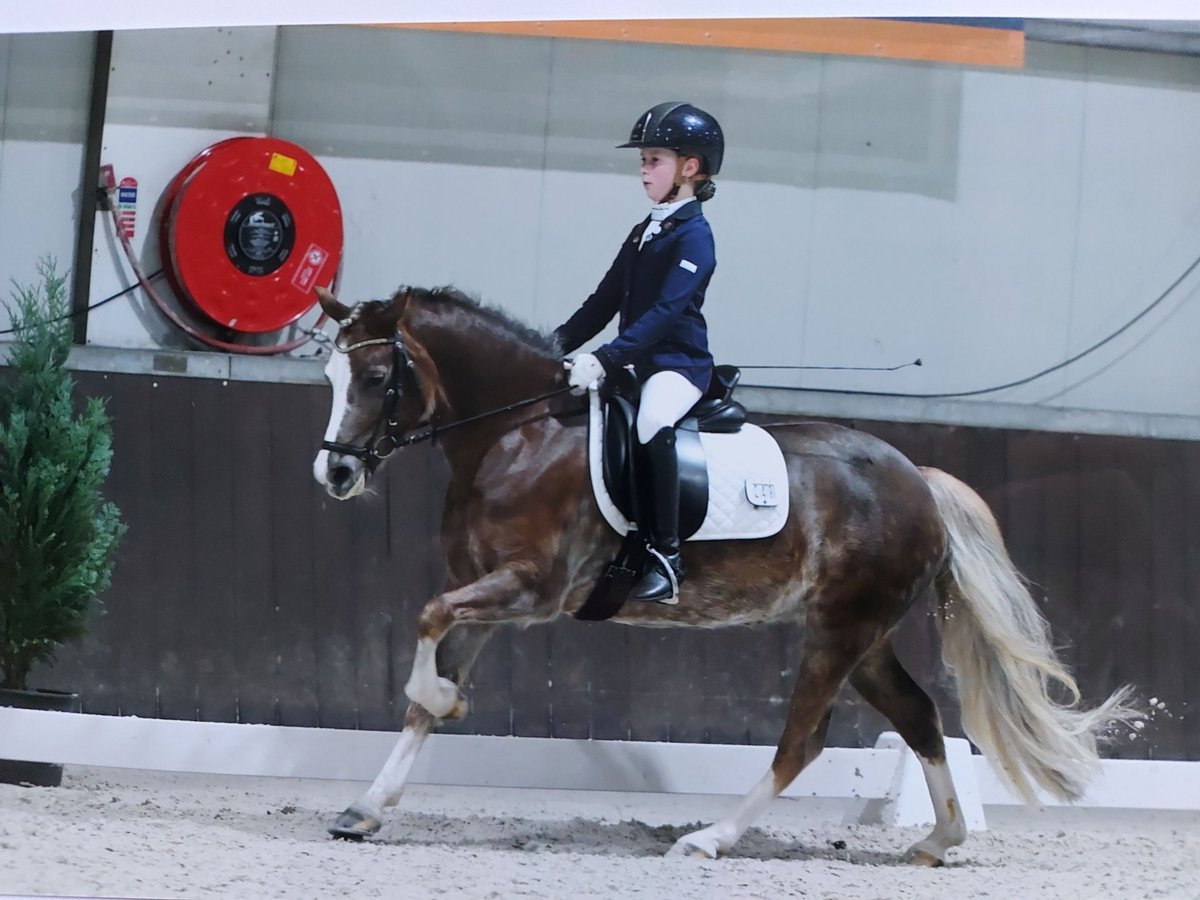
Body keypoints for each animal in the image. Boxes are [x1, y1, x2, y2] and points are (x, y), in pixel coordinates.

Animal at [309, 286, 1132, 868]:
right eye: (329, 373)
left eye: (378, 376)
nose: (336, 474)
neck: (519, 434)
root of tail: (920, 481)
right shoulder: (490, 593)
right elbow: (427, 668)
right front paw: (367, 806)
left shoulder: (531, 590)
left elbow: (426, 619)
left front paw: (442, 699)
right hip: (864, 637)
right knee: (920, 716)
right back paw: (938, 841)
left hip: (841, 630)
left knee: (803, 740)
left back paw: (711, 838)